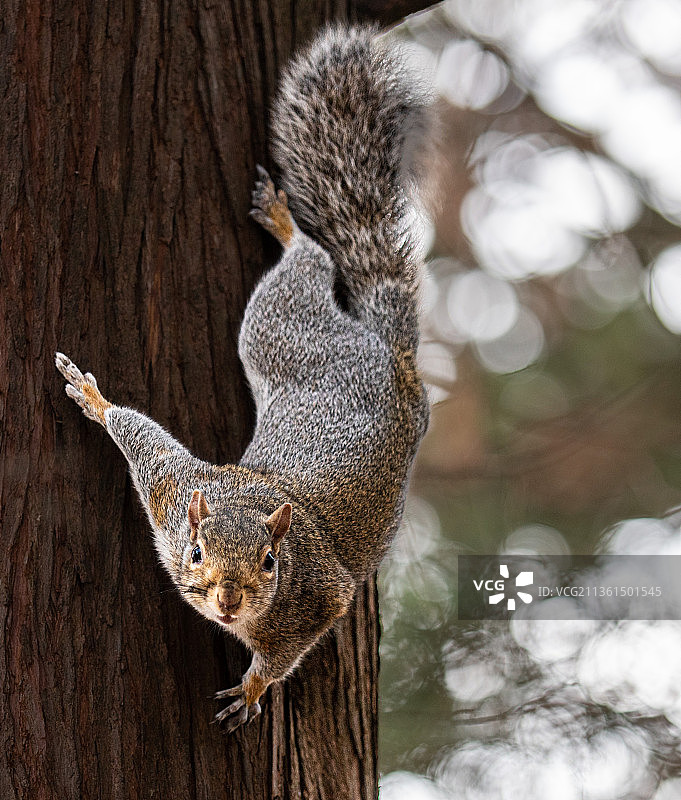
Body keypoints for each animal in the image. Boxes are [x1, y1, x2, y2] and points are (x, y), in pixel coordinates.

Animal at [54, 25, 424, 736]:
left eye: (271, 563)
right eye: (195, 552)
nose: (228, 602)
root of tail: (397, 360)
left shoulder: (318, 598)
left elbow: (283, 656)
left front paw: (252, 689)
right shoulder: (170, 490)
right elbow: (138, 433)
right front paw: (94, 397)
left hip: (277, 332)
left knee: (312, 261)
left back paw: (285, 224)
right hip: (284, 336)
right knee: (316, 264)